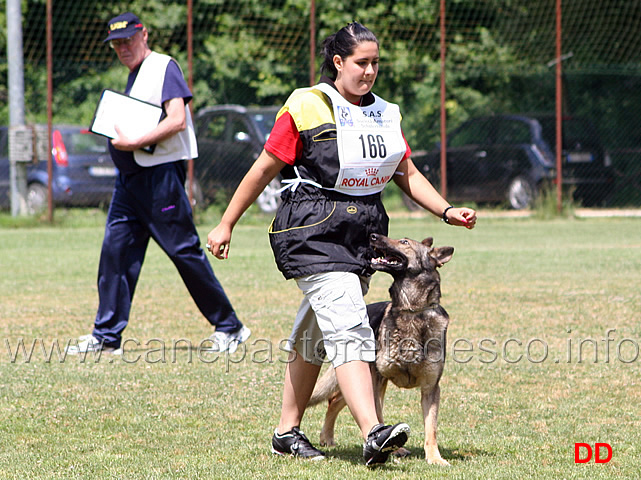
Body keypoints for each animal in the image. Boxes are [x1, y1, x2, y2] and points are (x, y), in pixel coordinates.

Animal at [308, 233, 452, 464]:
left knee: (335, 399)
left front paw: (435, 458)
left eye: (404, 242)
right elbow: (378, 415)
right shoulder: (377, 380)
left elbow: (431, 429)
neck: (411, 311)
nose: (373, 236)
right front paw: (391, 447)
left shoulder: (431, 388)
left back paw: (326, 437)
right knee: (334, 399)